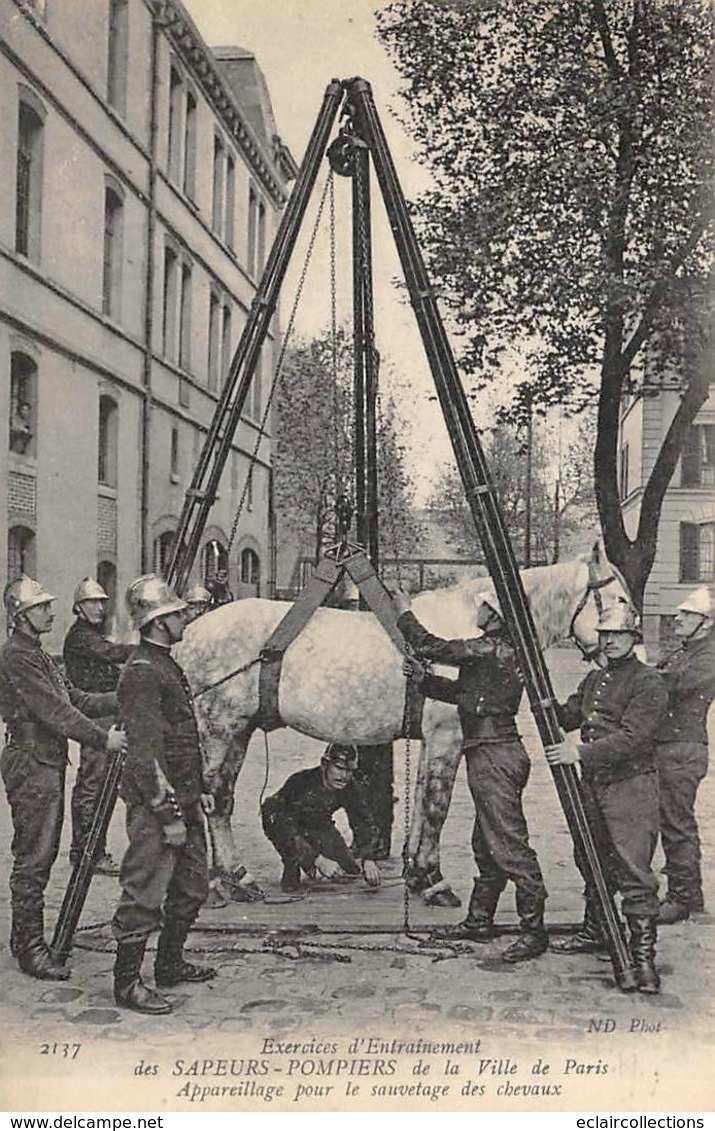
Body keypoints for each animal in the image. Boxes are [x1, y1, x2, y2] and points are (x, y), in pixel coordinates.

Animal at [174, 542, 629, 904]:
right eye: (620, 598)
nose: (629, 646)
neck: (471, 629)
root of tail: (187, 637)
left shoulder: (432, 739)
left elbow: (423, 798)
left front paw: (417, 873)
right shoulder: (447, 737)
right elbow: (436, 806)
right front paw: (434, 879)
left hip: (236, 731)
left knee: (219, 799)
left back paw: (229, 879)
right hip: (219, 730)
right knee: (214, 798)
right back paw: (229, 879)